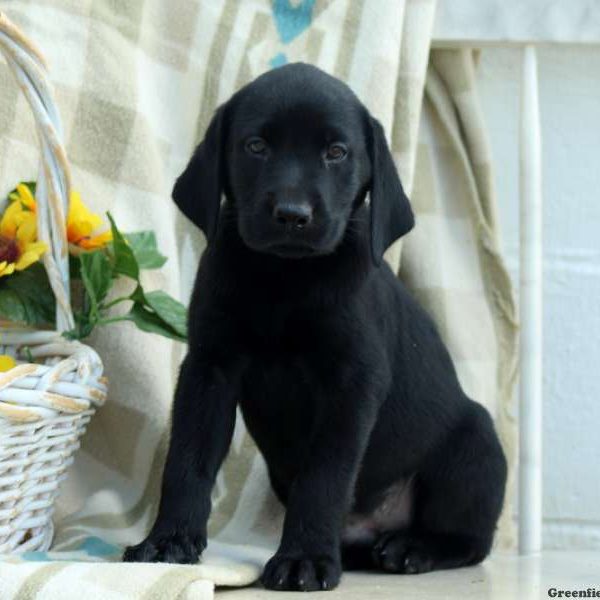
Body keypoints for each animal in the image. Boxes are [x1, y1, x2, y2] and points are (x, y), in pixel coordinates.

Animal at [124, 64, 508, 592]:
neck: (285, 279)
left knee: (473, 542)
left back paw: (413, 547)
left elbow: (324, 477)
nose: (292, 215)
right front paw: (169, 541)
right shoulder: (209, 368)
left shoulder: (352, 383)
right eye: (256, 145)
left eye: (336, 152)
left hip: (478, 443)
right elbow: (187, 459)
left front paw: (303, 558)